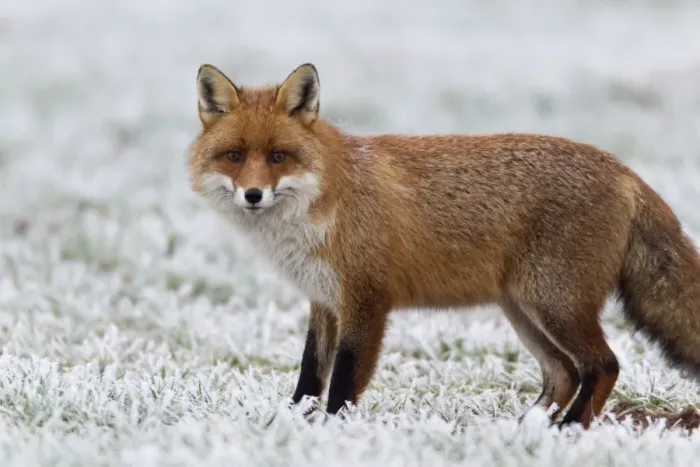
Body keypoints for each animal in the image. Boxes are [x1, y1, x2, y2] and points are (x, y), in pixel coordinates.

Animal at [187, 62, 700, 429]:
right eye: (235, 156)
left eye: (278, 156)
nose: (253, 195)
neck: (327, 200)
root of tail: (625, 170)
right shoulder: (324, 300)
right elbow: (310, 375)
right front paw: (289, 423)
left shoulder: (366, 300)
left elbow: (344, 383)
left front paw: (334, 432)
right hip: (525, 311)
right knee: (564, 373)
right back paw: (524, 431)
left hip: (555, 305)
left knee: (603, 366)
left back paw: (567, 431)